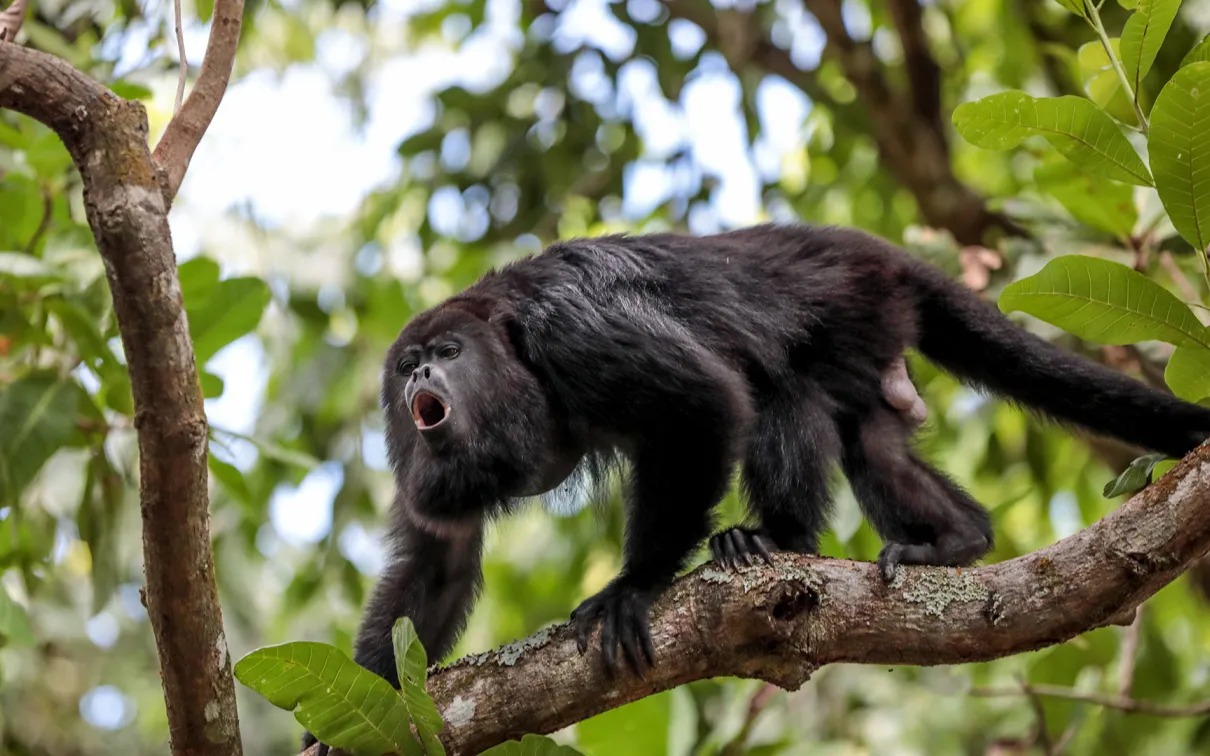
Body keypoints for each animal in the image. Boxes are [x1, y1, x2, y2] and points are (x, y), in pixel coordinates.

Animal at [303, 223, 1210, 753]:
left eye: (448, 353)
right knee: (871, 440)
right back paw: (959, 538)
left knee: (781, 390)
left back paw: (777, 541)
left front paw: (634, 587)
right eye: (408, 366)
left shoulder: (574, 330)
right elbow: (438, 560)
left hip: (852, 303)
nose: (421, 375)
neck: (508, 353)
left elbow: (704, 402)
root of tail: (876, 251)